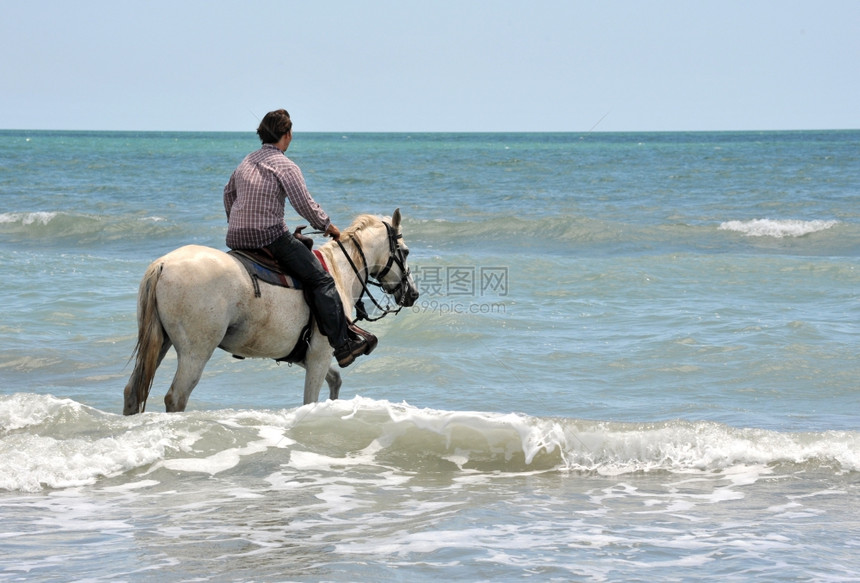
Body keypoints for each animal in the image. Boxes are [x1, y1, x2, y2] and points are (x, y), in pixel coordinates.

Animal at [122, 210, 416, 416]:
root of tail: (162, 264)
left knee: (132, 393)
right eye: (405, 251)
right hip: (196, 352)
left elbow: (335, 380)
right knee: (176, 397)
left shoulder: (303, 354)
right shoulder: (319, 355)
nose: (412, 294)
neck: (339, 271)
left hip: (161, 342)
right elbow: (311, 399)